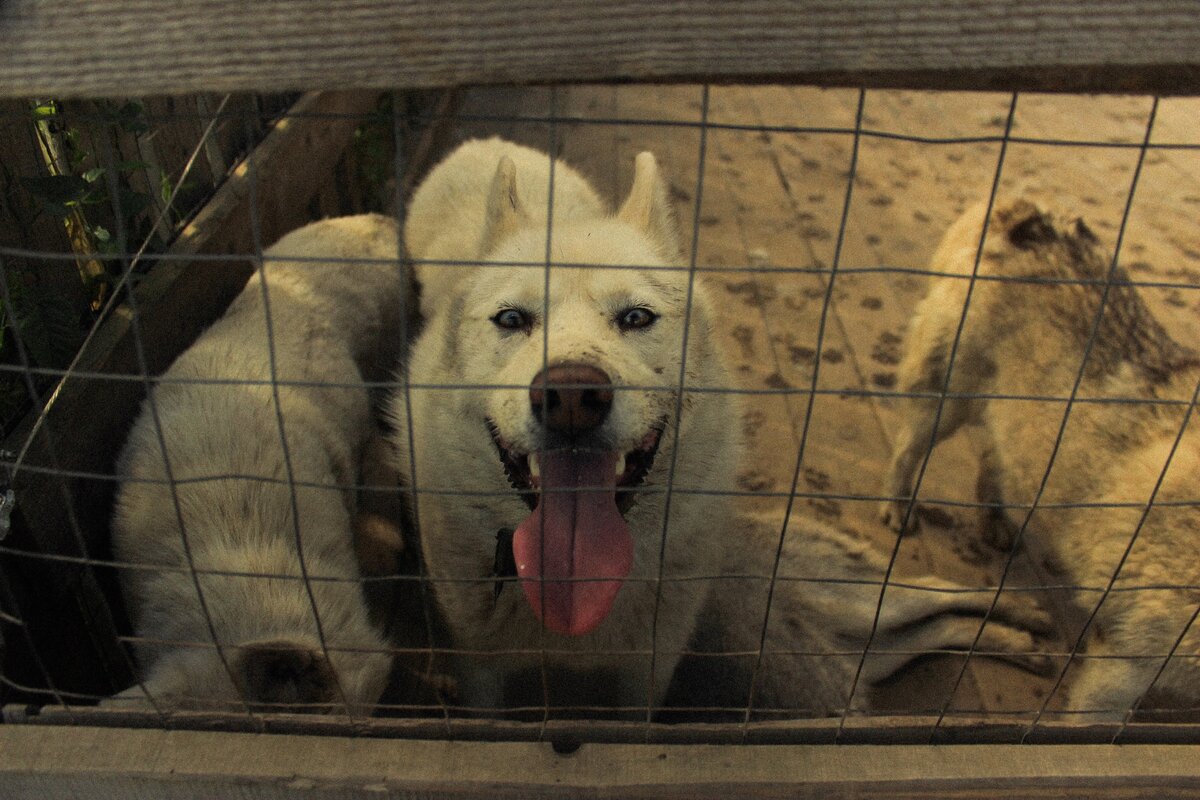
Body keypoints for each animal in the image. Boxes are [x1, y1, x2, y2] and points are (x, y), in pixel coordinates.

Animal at [388, 136, 1046, 714]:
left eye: (637, 317)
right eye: (511, 319)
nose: (571, 395)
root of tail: (487, 143)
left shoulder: (650, 670)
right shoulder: (481, 669)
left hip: (860, 608)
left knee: (937, 591)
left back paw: (1029, 619)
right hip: (865, 641)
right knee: (935, 626)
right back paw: (1021, 641)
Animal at [883, 199, 1200, 719]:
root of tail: (1029, 214)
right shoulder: (1127, 659)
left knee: (995, 461)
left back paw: (993, 522)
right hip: (945, 403)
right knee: (907, 449)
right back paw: (898, 506)